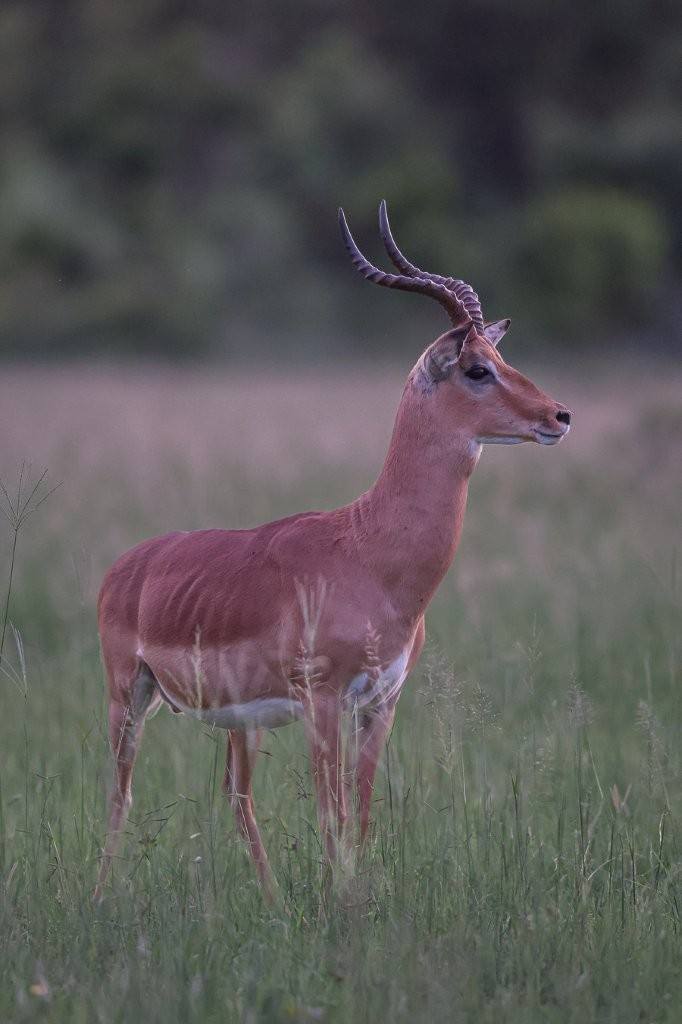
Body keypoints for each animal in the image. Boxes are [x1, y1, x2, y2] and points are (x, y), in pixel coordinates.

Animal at [94, 201, 571, 900]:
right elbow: (331, 813)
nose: (560, 416)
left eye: (500, 358)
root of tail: (127, 565)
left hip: (239, 723)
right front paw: (336, 904)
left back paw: (271, 901)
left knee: (237, 797)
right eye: (476, 368)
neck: (370, 555)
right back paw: (101, 897)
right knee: (120, 794)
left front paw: (350, 900)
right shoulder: (322, 703)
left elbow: (361, 812)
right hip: (128, 695)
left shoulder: (380, 703)